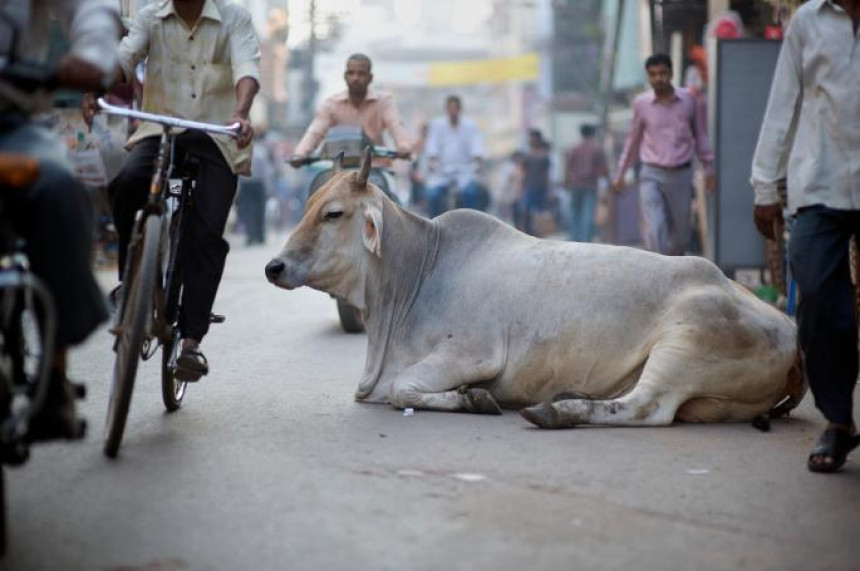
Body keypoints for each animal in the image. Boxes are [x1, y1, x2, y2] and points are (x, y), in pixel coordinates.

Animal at [266, 152, 804, 428]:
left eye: (333, 213)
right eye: (308, 204)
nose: (274, 266)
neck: (413, 275)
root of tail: (790, 329)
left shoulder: (473, 353)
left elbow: (403, 389)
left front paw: (475, 399)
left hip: (685, 344)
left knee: (647, 408)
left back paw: (558, 410)